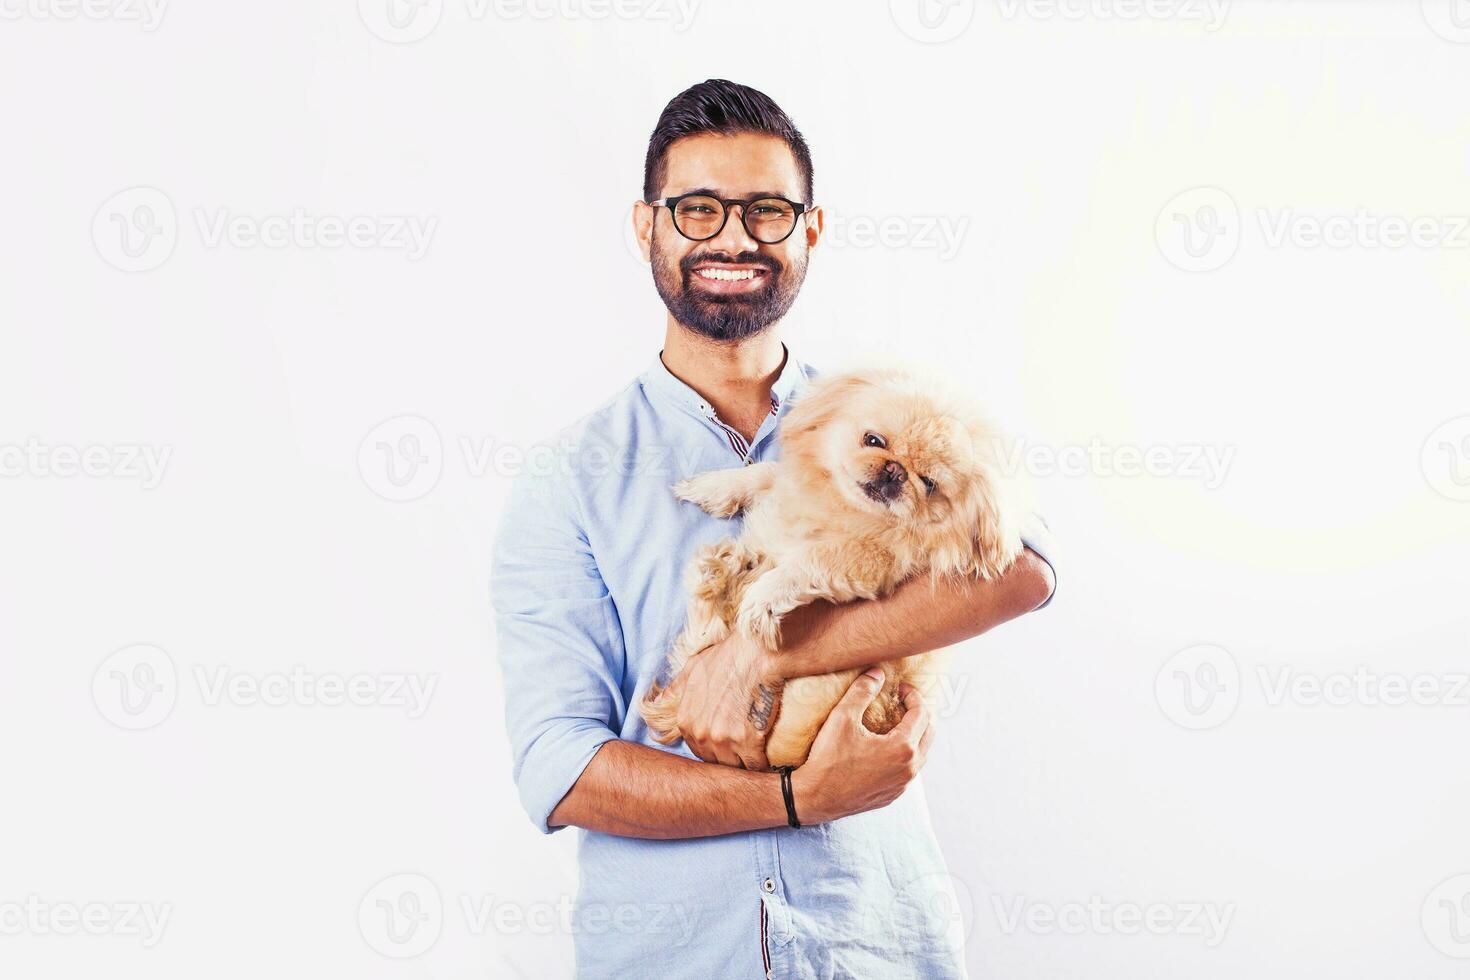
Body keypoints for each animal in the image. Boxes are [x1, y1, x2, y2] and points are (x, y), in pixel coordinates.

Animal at [643, 364, 1023, 769]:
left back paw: (723, 575)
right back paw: (720, 571)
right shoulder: (786, 488)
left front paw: (763, 602)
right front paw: (707, 488)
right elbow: (761, 474)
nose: (895, 471)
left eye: (929, 483)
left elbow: (808, 561)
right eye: (873, 440)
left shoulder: (868, 559)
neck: (844, 508)